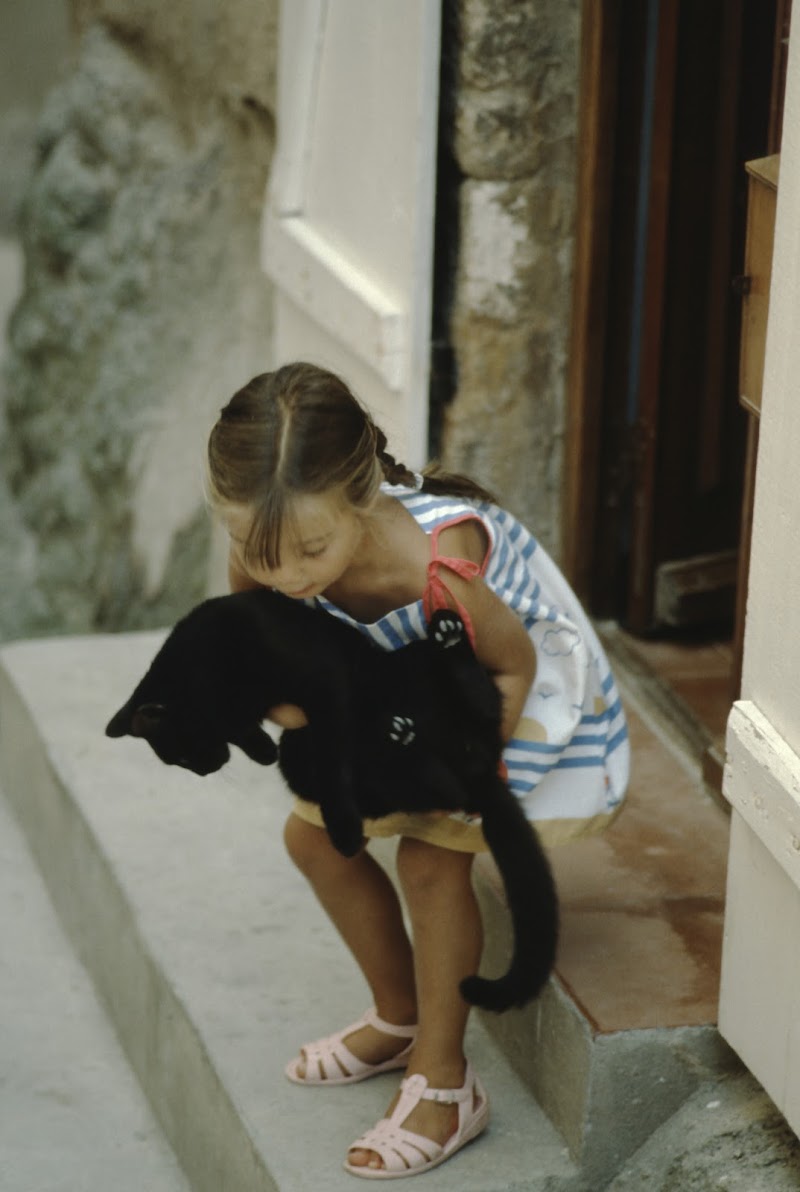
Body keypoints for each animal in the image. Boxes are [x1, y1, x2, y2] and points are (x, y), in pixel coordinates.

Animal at [104, 591, 557, 1010]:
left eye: (181, 756)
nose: (206, 769)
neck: (212, 666)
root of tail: (475, 763)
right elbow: (257, 734)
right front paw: (261, 749)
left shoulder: (326, 685)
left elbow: (334, 762)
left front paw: (341, 829)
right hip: (311, 757)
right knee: (441, 784)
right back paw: (405, 737)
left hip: (413, 666)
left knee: (480, 704)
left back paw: (447, 638)